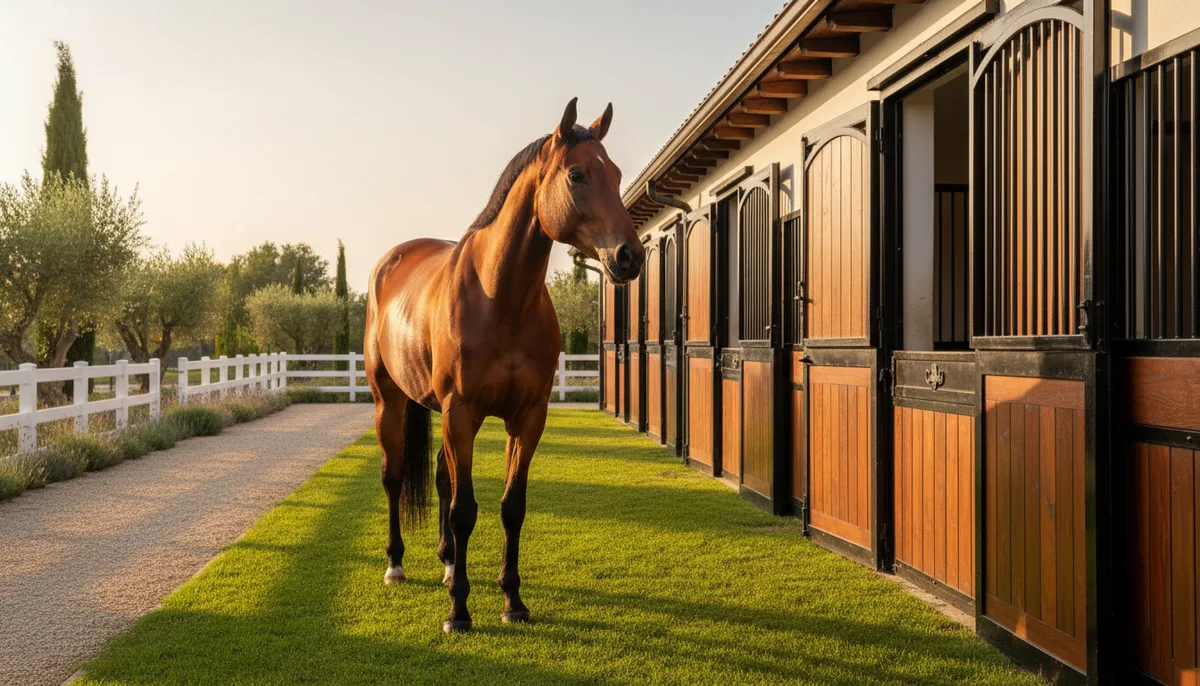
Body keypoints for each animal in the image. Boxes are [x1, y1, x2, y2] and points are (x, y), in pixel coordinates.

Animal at [365, 98, 644, 633]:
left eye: (617, 174)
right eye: (577, 174)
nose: (629, 256)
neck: (501, 299)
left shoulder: (528, 417)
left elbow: (510, 506)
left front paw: (512, 600)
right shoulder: (461, 413)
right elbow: (464, 510)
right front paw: (459, 612)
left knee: (441, 477)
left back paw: (448, 563)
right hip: (390, 401)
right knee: (394, 477)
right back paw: (396, 565)